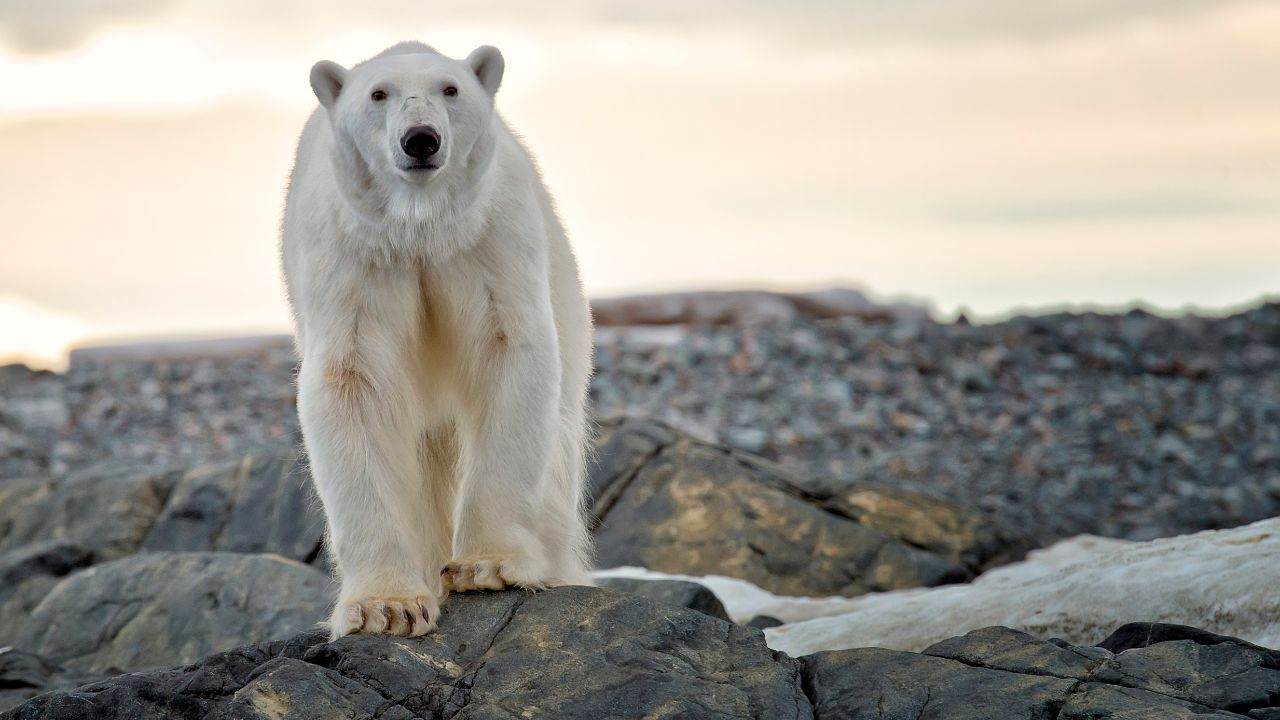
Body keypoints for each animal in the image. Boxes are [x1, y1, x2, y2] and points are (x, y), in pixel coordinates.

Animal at [280, 41, 593, 635]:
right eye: (378, 94)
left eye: (450, 89)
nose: (421, 139)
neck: (419, 229)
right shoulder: (352, 256)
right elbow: (353, 382)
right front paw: (386, 607)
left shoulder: (488, 239)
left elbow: (507, 352)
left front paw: (488, 566)